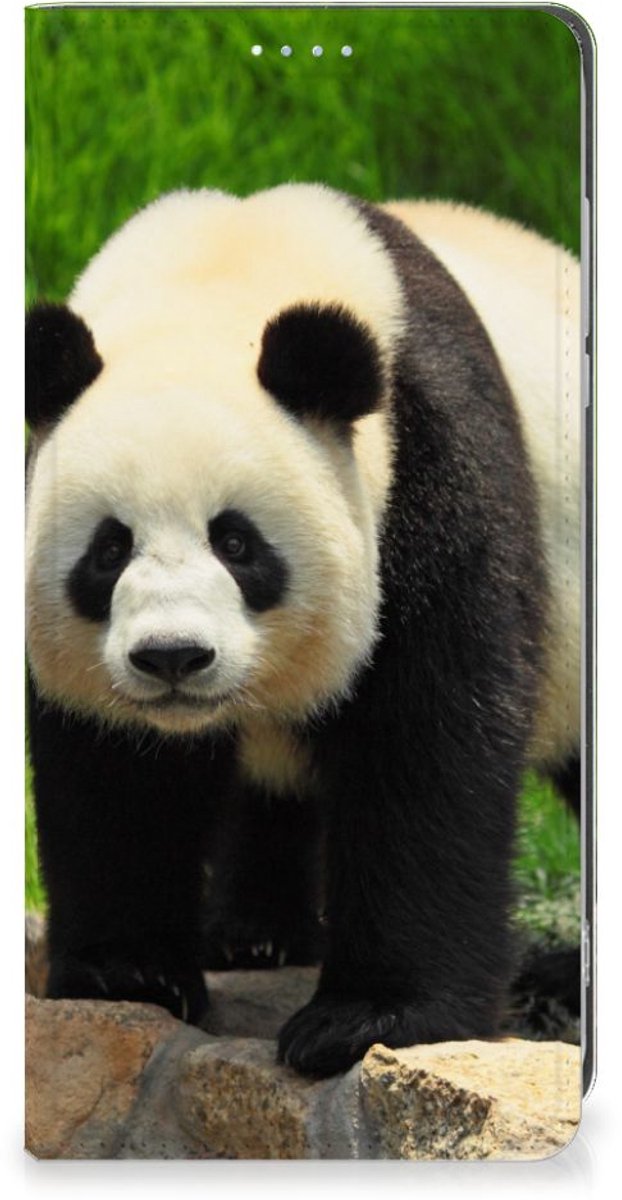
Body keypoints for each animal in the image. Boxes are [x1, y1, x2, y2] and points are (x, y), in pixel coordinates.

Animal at [25, 184, 580, 1078]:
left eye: (237, 542)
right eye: (109, 550)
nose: (173, 657)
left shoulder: (432, 468)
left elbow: (427, 740)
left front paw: (368, 1019)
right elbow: (116, 772)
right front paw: (128, 974)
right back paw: (253, 934)